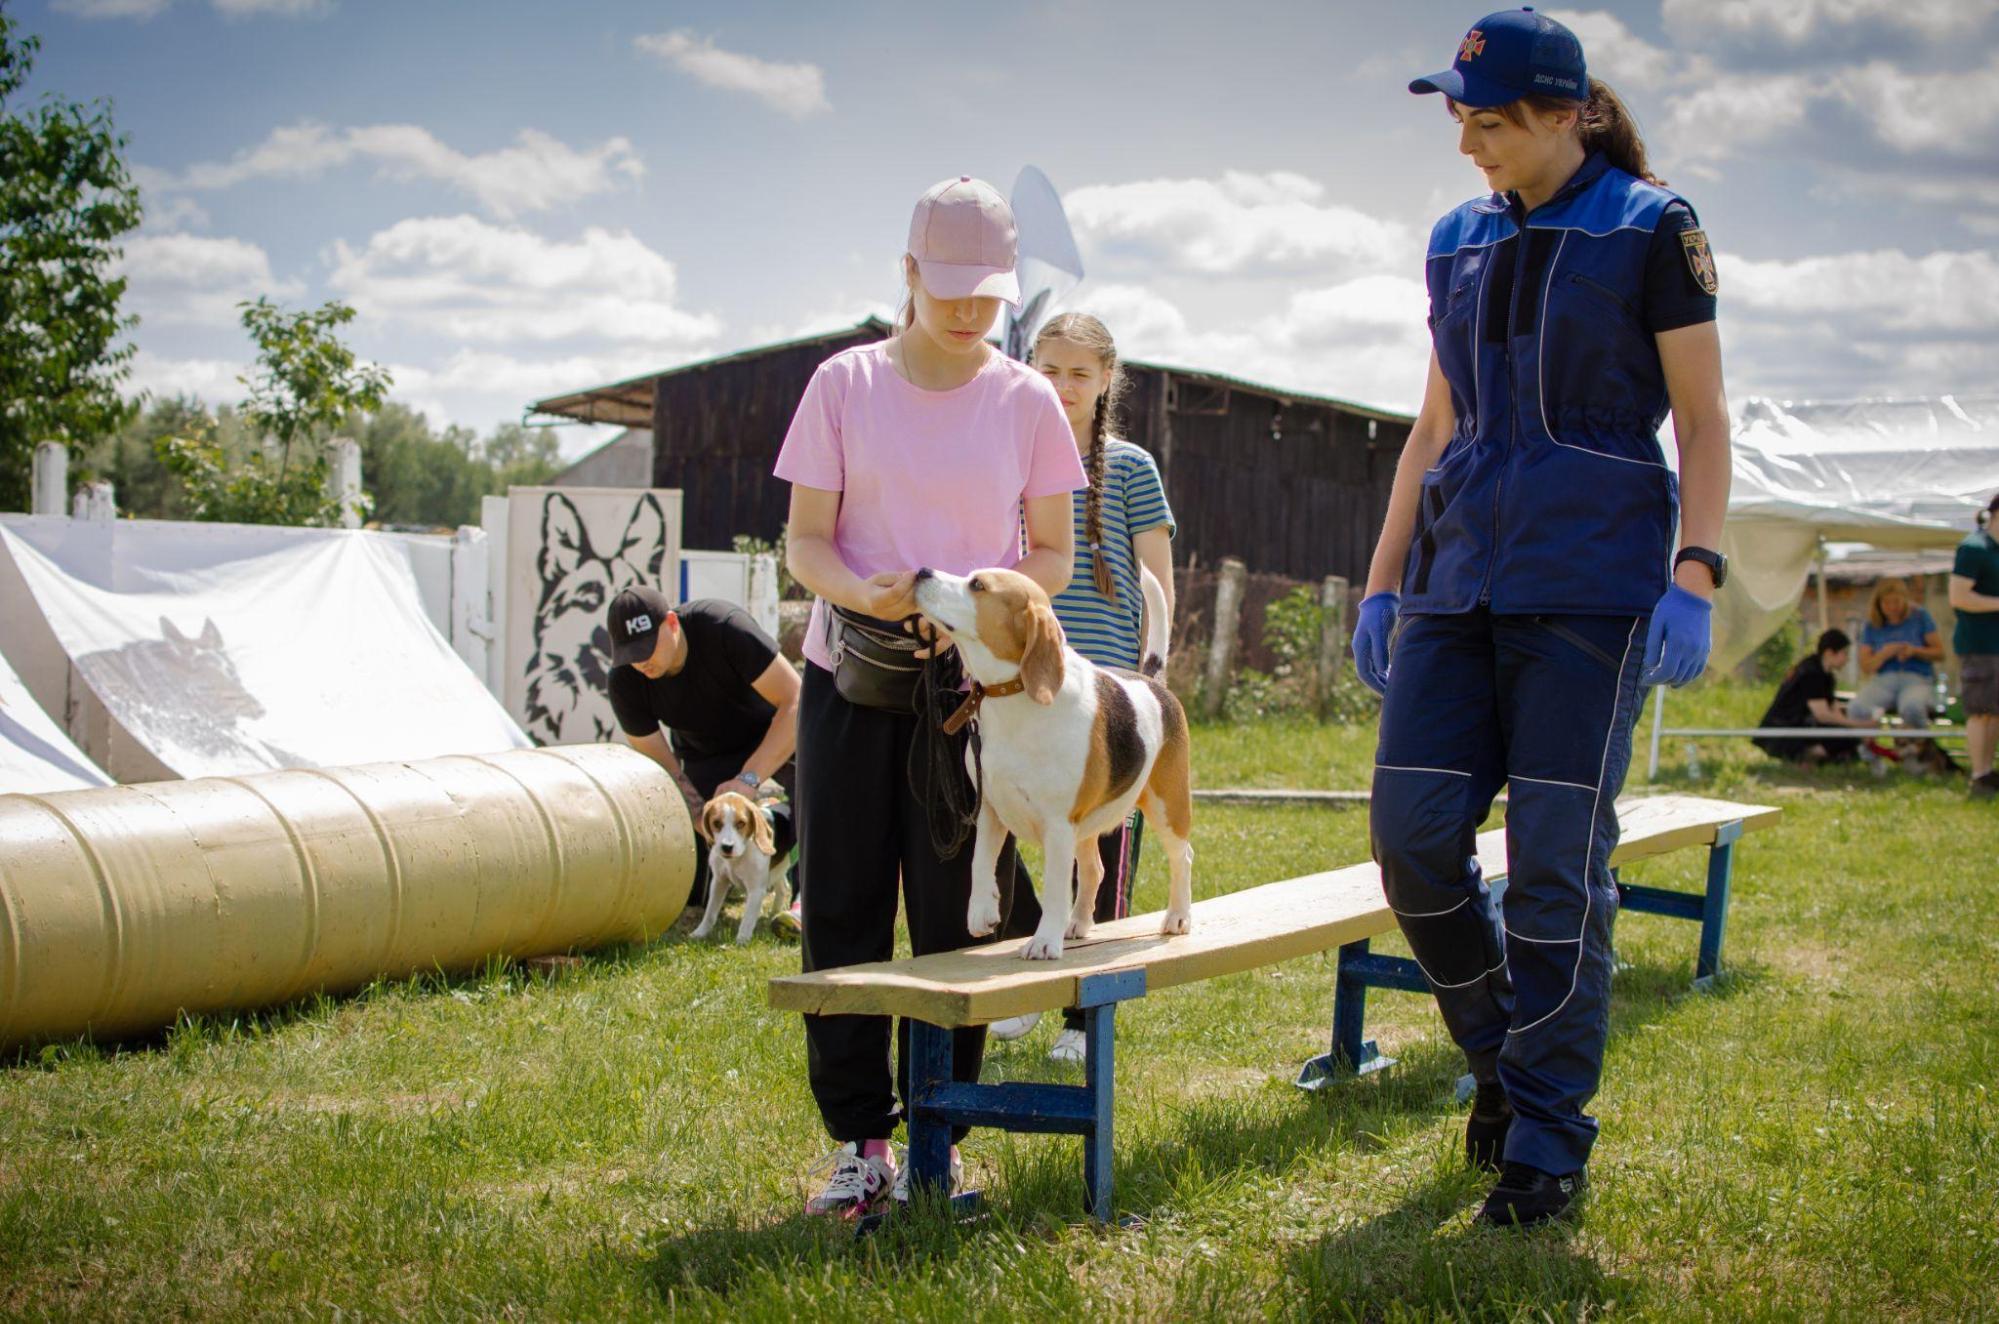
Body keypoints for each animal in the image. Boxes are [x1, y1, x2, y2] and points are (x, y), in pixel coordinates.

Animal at [687, 792, 779, 948]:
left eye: (741, 823)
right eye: (717, 823)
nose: (727, 847)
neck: (736, 859)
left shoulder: (756, 890)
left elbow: (747, 919)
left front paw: (742, 940)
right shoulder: (718, 882)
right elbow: (710, 913)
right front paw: (700, 932)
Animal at [915, 564, 1191, 960]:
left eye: (977, 585)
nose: (921, 571)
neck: (1012, 696)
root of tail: (1152, 681)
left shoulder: (1058, 824)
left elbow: (1055, 888)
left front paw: (1045, 940)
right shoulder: (990, 809)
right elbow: (980, 861)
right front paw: (981, 911)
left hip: (1167, 807)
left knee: (1182, 857)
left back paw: (1178, 916)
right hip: (1086, 824)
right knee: (1095, 870)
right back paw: (1077, 924)